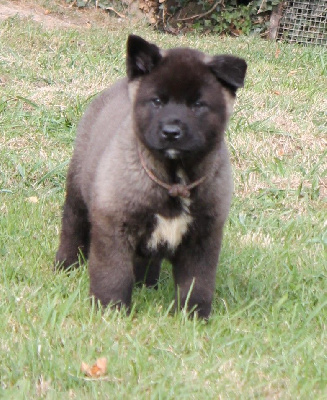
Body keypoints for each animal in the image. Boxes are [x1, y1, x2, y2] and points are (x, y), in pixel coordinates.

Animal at [55, 35, 246, 318]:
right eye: (157, 101)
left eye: (197, 105)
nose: (171, 132)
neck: (173, 179)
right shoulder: (115, 226)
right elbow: (113, 274)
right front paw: (110, 310)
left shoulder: (202, 238)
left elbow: (197, 282)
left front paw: (193, 316)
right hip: (78, 188)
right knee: (72, 226)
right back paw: (65, 265)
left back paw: (147, 284)